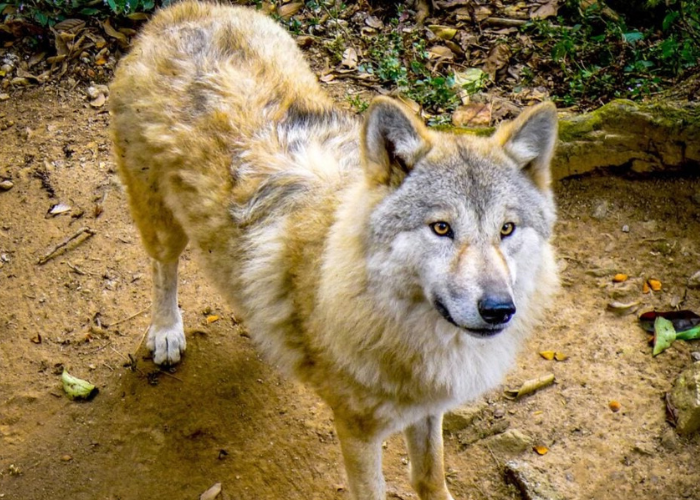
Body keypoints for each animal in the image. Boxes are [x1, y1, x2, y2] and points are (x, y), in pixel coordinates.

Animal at [109, 2, 559, 498]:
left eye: (506, 229)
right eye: (441, 228)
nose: (499, 309)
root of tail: (180, 12)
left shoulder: (427, 408)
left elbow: (430, 477)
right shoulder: (357, 430)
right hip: (162, 226)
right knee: (162, 267)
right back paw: (167, 331)